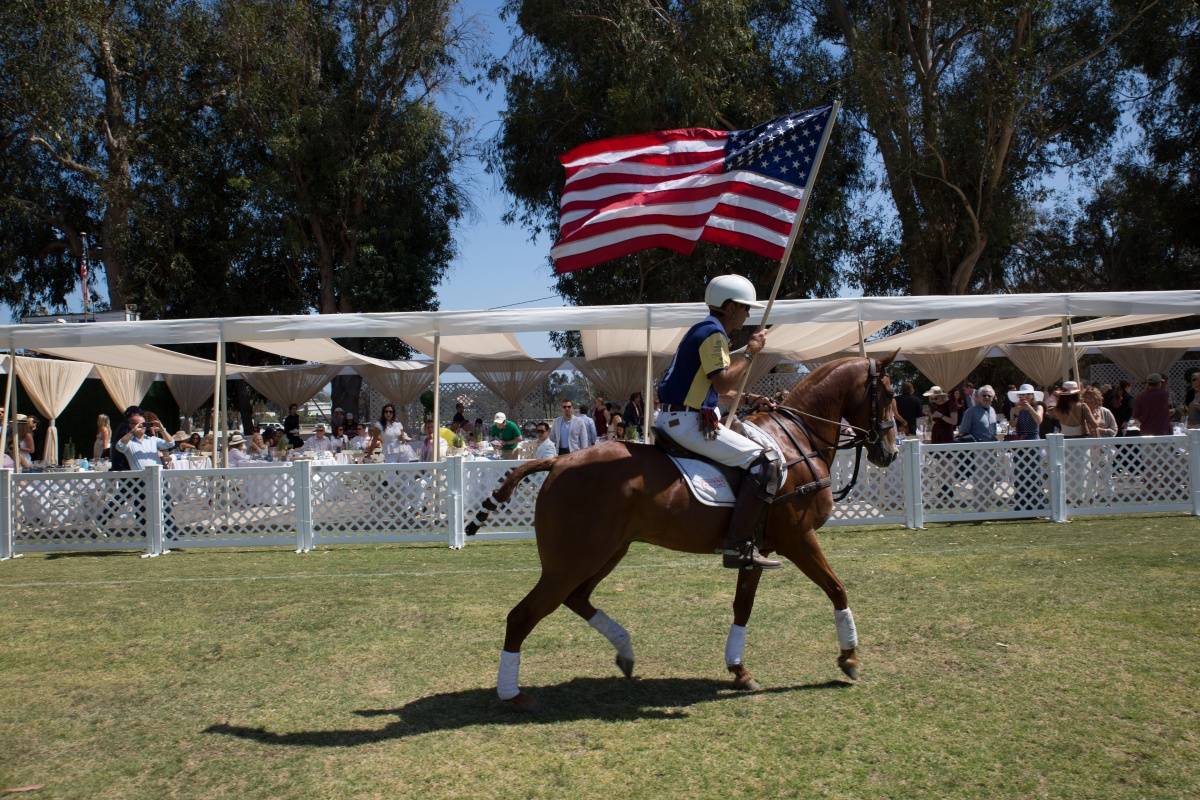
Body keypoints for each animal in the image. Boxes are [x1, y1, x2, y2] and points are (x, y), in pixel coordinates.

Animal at [468, 355, 902, 705]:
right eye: (889, 392)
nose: (890, 452)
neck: (797, 440)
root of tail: (558, 462)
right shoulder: (797, 538)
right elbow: (837, 588)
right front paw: (849, 658)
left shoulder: (756, 549)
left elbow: (743, 606)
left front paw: (739, 670)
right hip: (572, 559)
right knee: (522, 615)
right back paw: (511, 694)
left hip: (607, 550)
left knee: (576, 598)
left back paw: (625, 650)